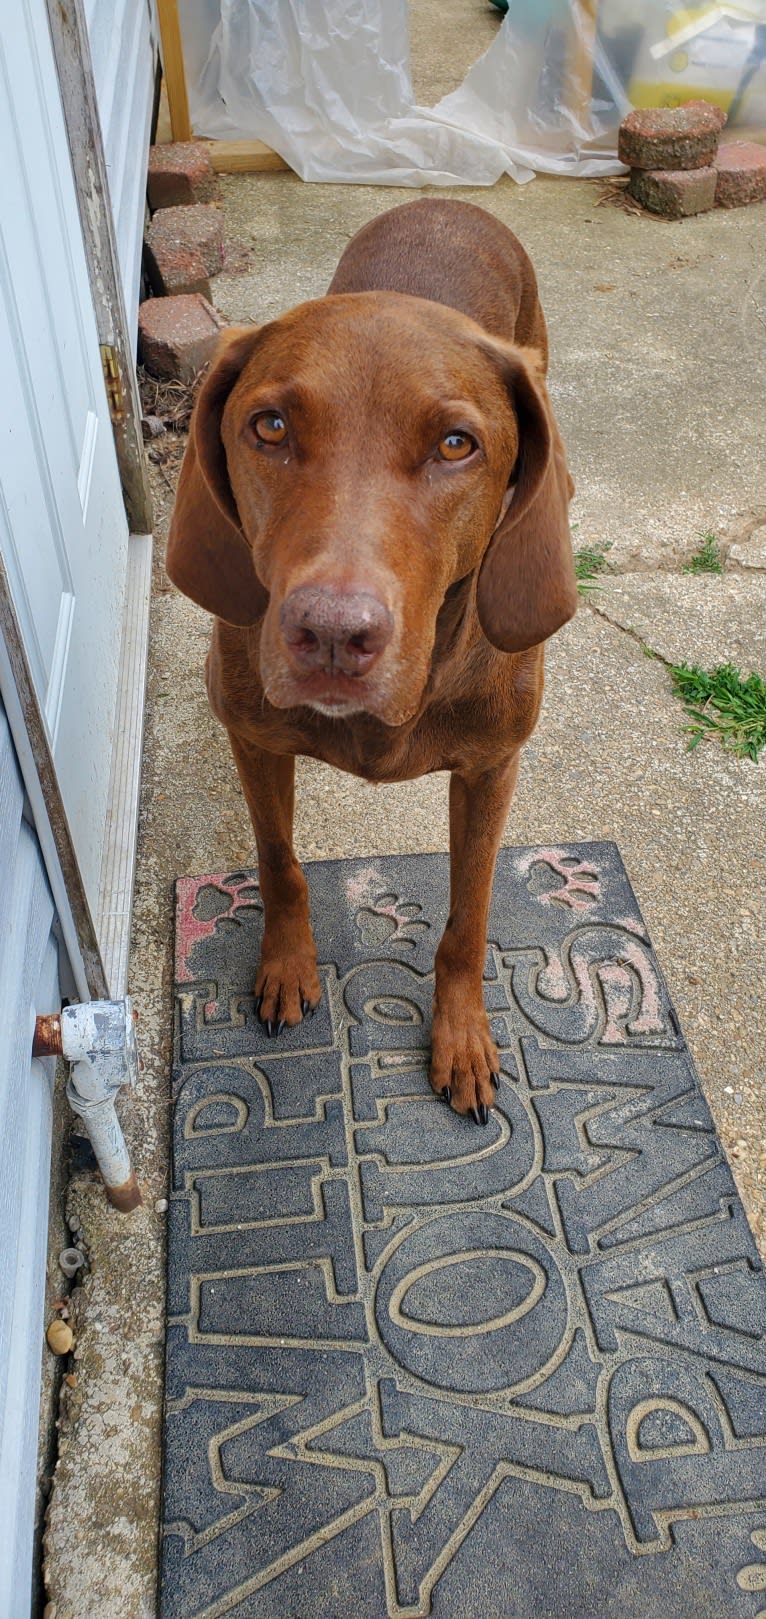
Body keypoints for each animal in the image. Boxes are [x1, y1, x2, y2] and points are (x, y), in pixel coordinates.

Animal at [165, 195, 573, 1120]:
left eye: (457, 443)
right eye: (269, 426)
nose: (331, 634)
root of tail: (444, 199)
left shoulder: (492, 768)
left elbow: (469, 916)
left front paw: (462, 1034)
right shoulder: (255, 739)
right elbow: (280, 862)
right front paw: (286, 964)